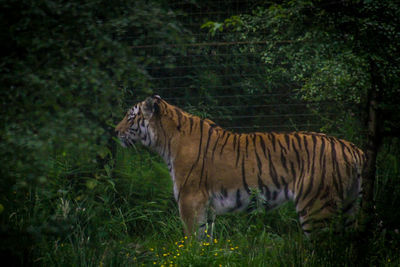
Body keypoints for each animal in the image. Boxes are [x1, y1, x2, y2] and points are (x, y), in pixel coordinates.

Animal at [115, 95, 366, 238]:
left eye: (130, 117)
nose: (115, 131)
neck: (165, 141)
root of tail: (354, 149)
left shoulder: (189, 200)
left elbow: (191, 241)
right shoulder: (206, 207)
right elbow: (206, 240)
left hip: (316, 208)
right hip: (349, 207)